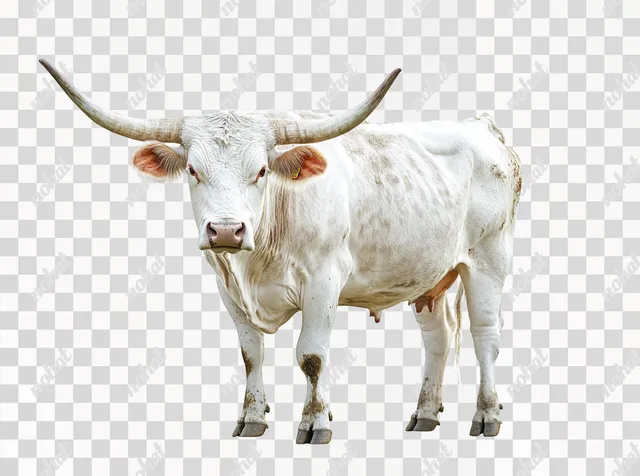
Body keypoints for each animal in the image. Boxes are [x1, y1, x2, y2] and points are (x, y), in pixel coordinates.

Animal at [40, 59, 521, 444]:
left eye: (261, 170)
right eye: (193, 170)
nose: (226, 230)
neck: (255, 261)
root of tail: (484, 128)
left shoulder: (324, 282)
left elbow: (311, 356)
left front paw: (315, 423)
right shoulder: (226, 287)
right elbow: (251, 353)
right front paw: (252, 418)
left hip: (488, 260)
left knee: (485, 337)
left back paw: (487, 415)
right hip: (429, 275)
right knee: (437, 338)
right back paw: (424, 414)